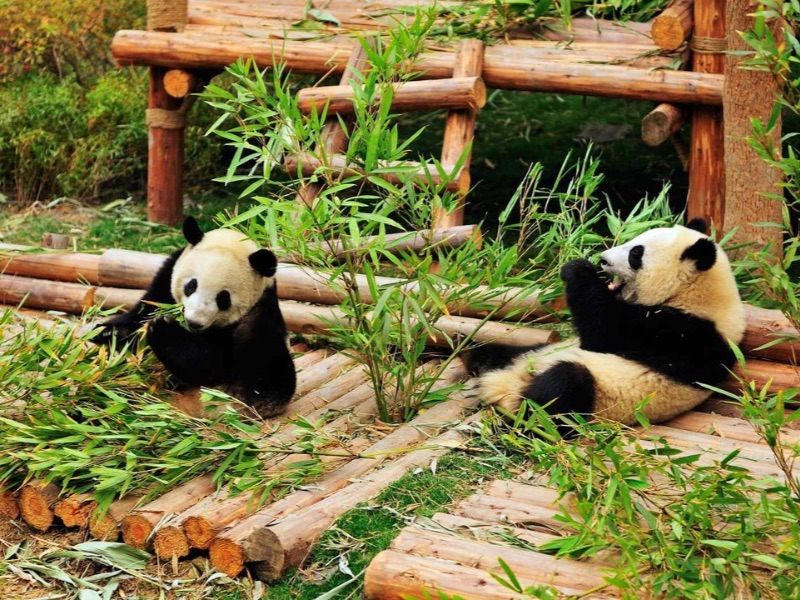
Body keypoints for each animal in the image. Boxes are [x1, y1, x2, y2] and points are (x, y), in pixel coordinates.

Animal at [95, 216, 296, 419]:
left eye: (223, 298)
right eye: (191, 285)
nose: (194, 322)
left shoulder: (258, 314)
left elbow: (211, 366)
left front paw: (164, 329)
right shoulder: (166, 278)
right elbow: (144, 311)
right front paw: (110, 334)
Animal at [464, 218, 746, 431]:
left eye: (636, 253)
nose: (602, 259)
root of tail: (504, 386)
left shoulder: (682, 334)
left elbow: (603, 334)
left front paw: (578, 268)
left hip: (595, 397)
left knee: (564, 385)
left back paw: (522, 423)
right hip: (532, 353)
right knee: (499, 352)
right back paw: (473, 357)